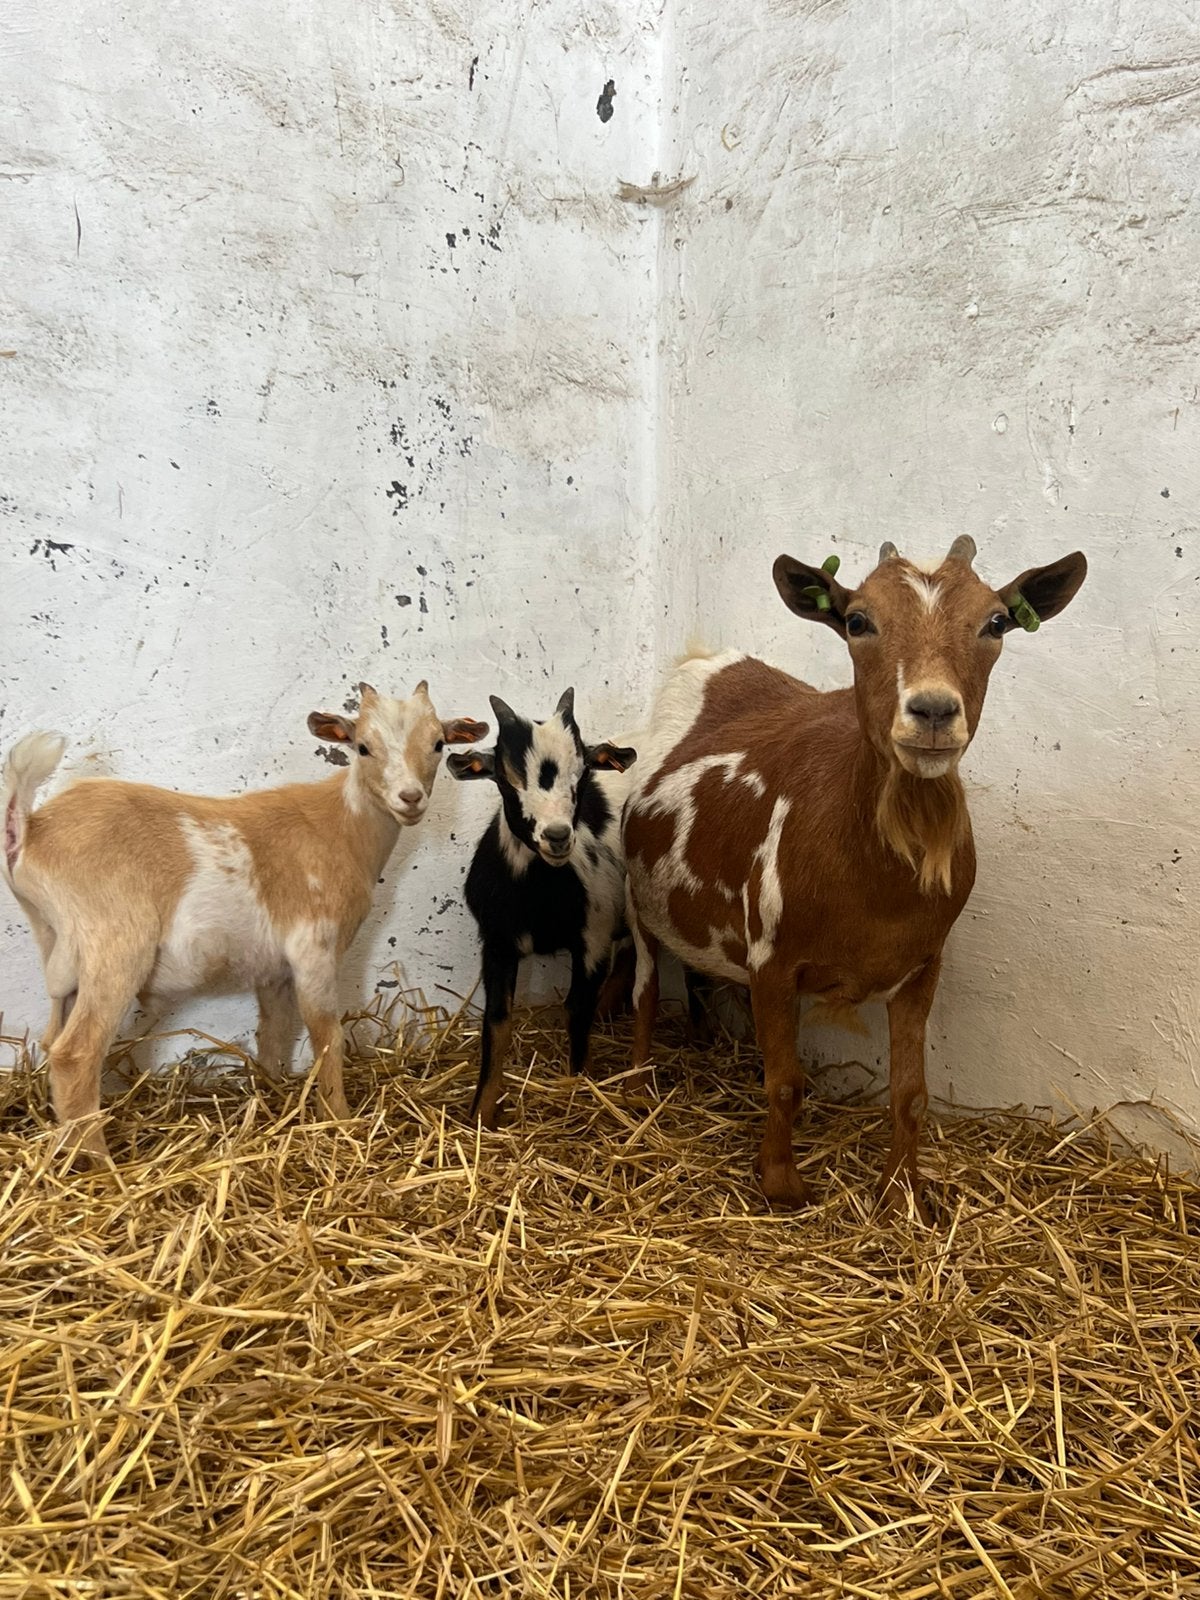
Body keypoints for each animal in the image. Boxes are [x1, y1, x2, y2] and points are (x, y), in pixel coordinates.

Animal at [1, 682, 487, 1159]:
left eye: (438, 744)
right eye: (363, 747)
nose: (411, 798)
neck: (344, 828)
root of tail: (31, 829)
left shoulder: (273, 969)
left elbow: (273, 1031)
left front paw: (272, 1093)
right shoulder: (314, 946)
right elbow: (325, 1032)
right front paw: (339, 1117)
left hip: (59, 947)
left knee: (52, 1038)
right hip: (116, 945)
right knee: (75, 1052)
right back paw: (101, 1163)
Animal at [448, 688, 636, 1127]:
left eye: (583, 773)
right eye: (504, 775)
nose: (557, 836)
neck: (537, 897)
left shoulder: (592, 940)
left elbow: (576, 1010)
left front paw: (577, 1087)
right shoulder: (497, 943)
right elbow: (497, 1022)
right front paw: (481, 1113)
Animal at [622, 537, 1087, 1220]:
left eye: (997, 622)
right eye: (858, 621)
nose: (932, 711)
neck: (873, 888)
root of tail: (703, 661)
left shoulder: (922, 965)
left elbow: (910, 1093)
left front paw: (901, 1193)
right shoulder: (770, 958)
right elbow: (784, 1084)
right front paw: (781, 1184)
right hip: (635, 902)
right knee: (646, 989)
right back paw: (635, 1086)